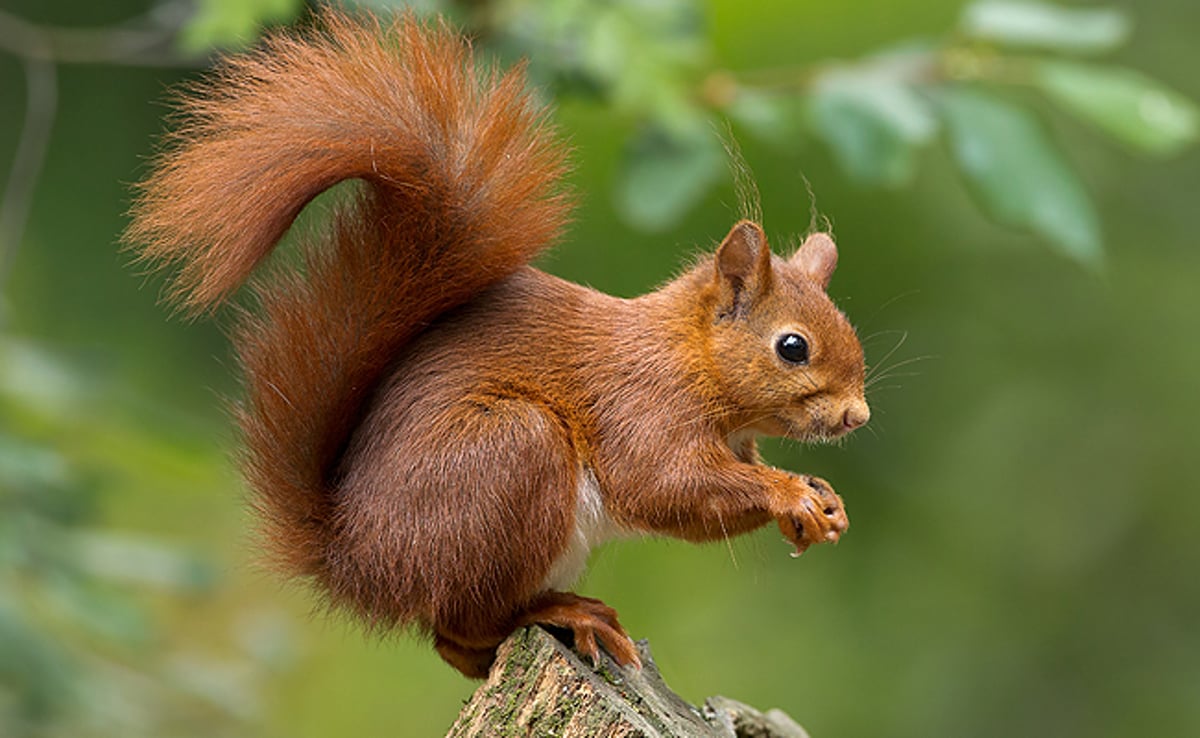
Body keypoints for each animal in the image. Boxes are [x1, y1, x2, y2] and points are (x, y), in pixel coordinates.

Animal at [124, 10, 873, 681]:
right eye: (793, 347)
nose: (856, 416)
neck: (689, 358)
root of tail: (356, 563)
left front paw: (822, 500)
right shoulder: (641, 405)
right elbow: (665, 486)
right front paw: (789, 494)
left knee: (452, 646)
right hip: (510, 457)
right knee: (463, 622)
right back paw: (563, 613)